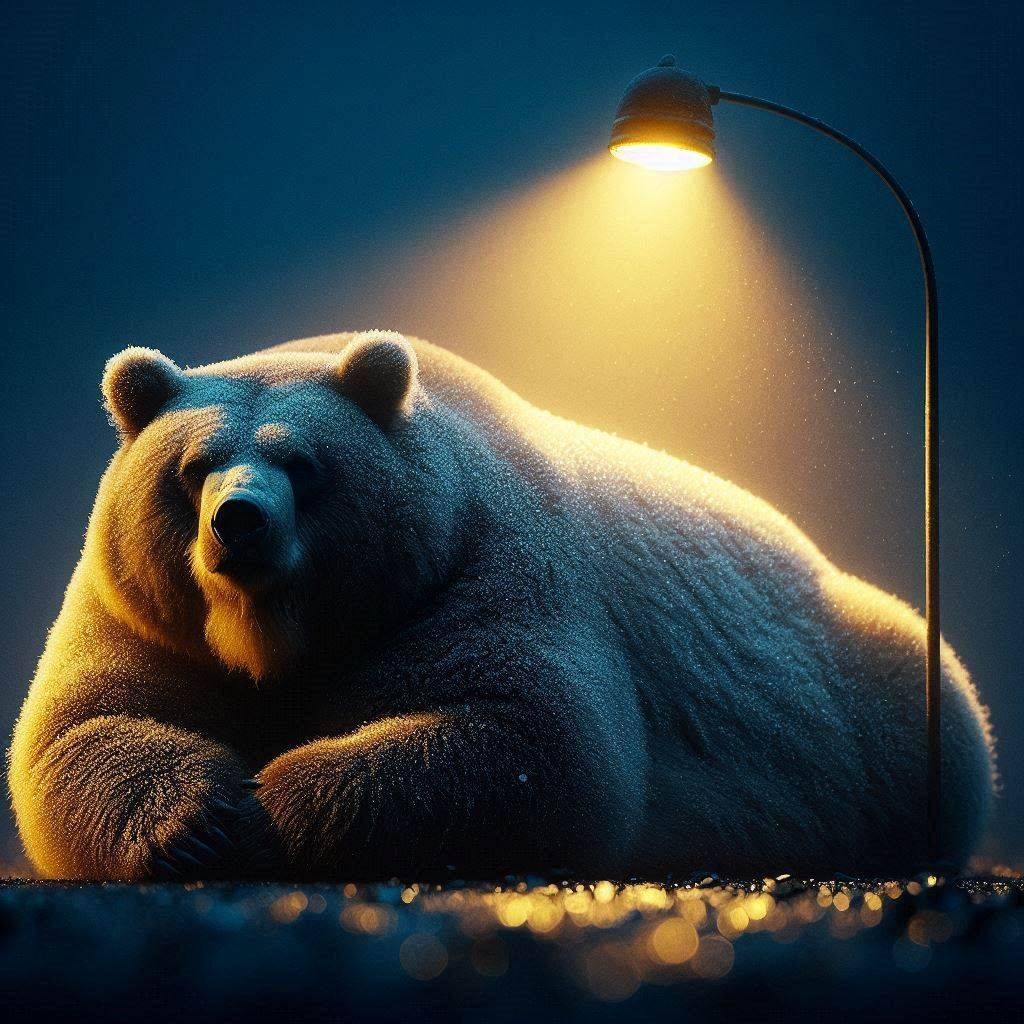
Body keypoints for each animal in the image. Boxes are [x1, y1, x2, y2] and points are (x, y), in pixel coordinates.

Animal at [8, 330, 995, 882]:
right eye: (193, 469)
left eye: (302, 465)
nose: (239, 524)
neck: (279, 634)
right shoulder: (146, 612)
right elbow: (85, 728)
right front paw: (201, 821)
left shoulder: (479, 570)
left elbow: (531, 735)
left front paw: (273, 804)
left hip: (858, 688)